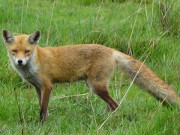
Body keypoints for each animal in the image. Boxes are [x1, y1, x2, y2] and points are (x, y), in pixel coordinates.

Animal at [2, 29, 180, 121]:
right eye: (14, 51)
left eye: (27, 51)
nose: (19, 61)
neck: (34, 62)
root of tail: (111, 50)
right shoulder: (38, 87)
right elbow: (42, 106)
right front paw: (45, 120)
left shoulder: (47, 85)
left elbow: (42, 110)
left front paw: (42, 124)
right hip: (94, 85)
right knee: (110, 106)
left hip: (96, 86)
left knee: (115, 105)